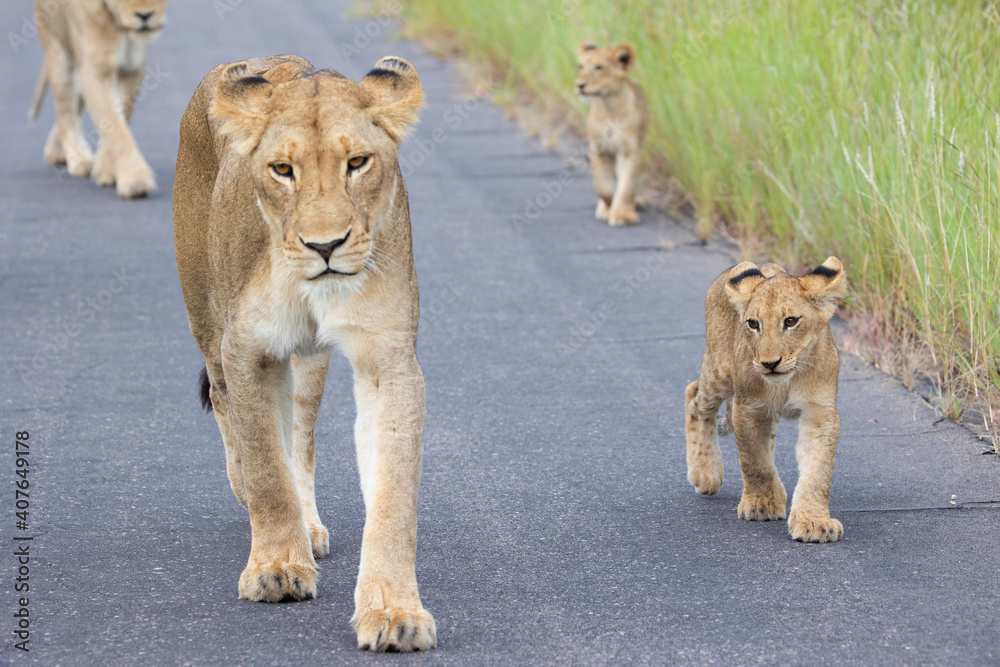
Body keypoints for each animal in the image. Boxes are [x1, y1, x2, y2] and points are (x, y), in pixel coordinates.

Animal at [28, 0, 168, 198]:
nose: (145, 16)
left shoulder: (132, 68)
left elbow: (119, 116)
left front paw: (107, 170)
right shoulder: (93, 70)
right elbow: (114, 124)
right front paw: (135, 180)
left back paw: (56, 152)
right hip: (59, 55)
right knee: (65, 115)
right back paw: (80, 161)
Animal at [173, 54, 435, 652]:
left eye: (357, 163)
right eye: (281, 170)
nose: (325, 246)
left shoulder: (388, 359)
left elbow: (391, 496)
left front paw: (394, 612)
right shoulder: (247, 349)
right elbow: (266, 465)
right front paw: (275, 568)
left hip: (309, 364)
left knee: (301, 435)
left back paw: (309, 526)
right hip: (207, 320)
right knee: (226, 408)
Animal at [576, 43, 648, 226]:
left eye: (599, 67)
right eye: (581, 67)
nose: (579, 85)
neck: (610, 107)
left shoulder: (630, 151)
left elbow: (627, 185)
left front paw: (622, 214)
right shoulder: (598, 150)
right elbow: (603, 186)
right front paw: (608, 207)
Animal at [684, 257, 849, 543]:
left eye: (790, 321)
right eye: (753, 324)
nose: (770, 363)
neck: (789, 380)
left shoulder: (820, 413)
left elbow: (818, 471)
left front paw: (814, 522)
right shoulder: (747, 408)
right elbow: (754, 461)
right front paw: (761, 503)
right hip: (719, 370)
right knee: (694, 396)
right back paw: (705, 475)